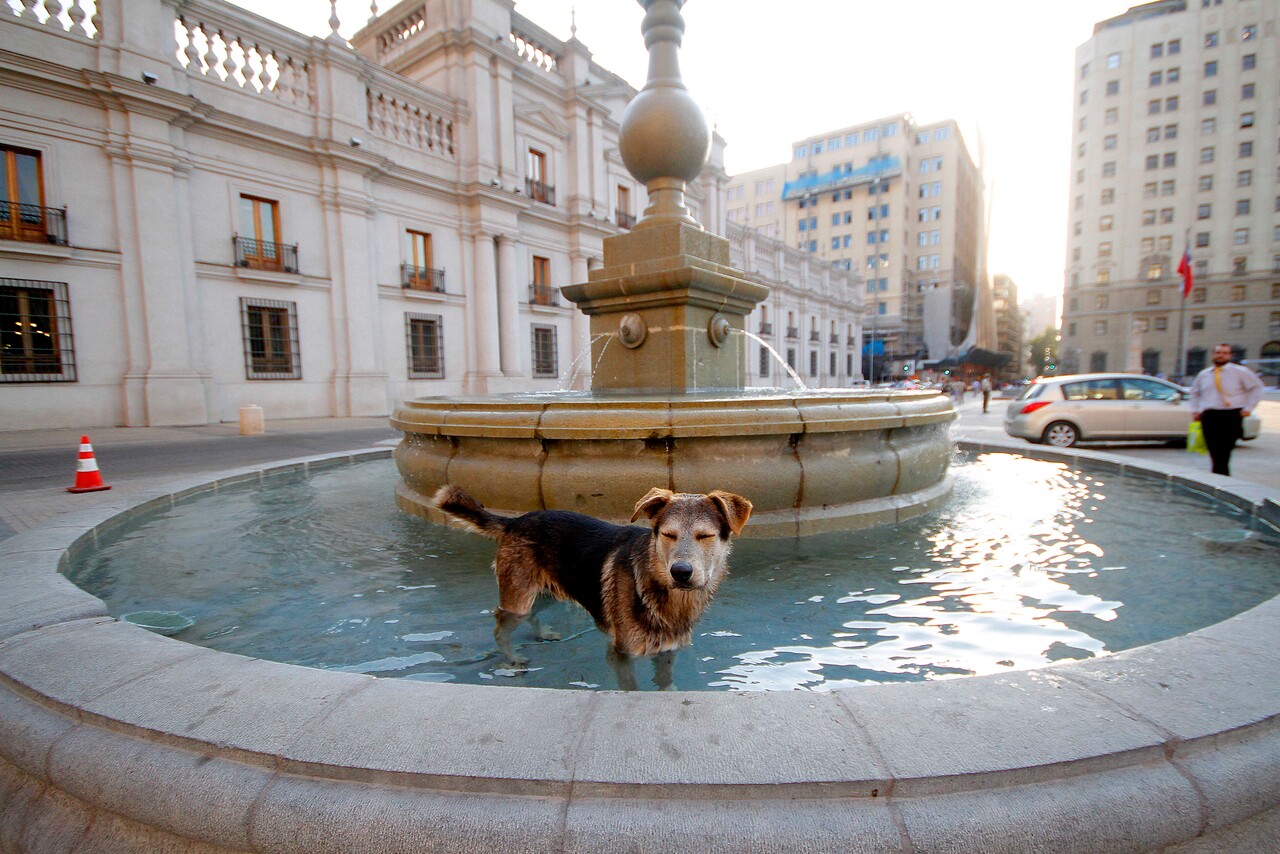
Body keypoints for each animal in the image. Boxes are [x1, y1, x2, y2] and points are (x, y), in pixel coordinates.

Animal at [430, 483, 747, 691]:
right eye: (669, 535)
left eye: (704, 536)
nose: (680, 573)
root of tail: (516, 521)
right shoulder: (620, 654)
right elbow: (632, 689)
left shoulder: (667, 651)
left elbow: (665, 684)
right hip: (518, 598)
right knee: (500, 625)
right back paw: (513, 658)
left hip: (549, 591)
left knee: (532, 613)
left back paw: (543, 633)